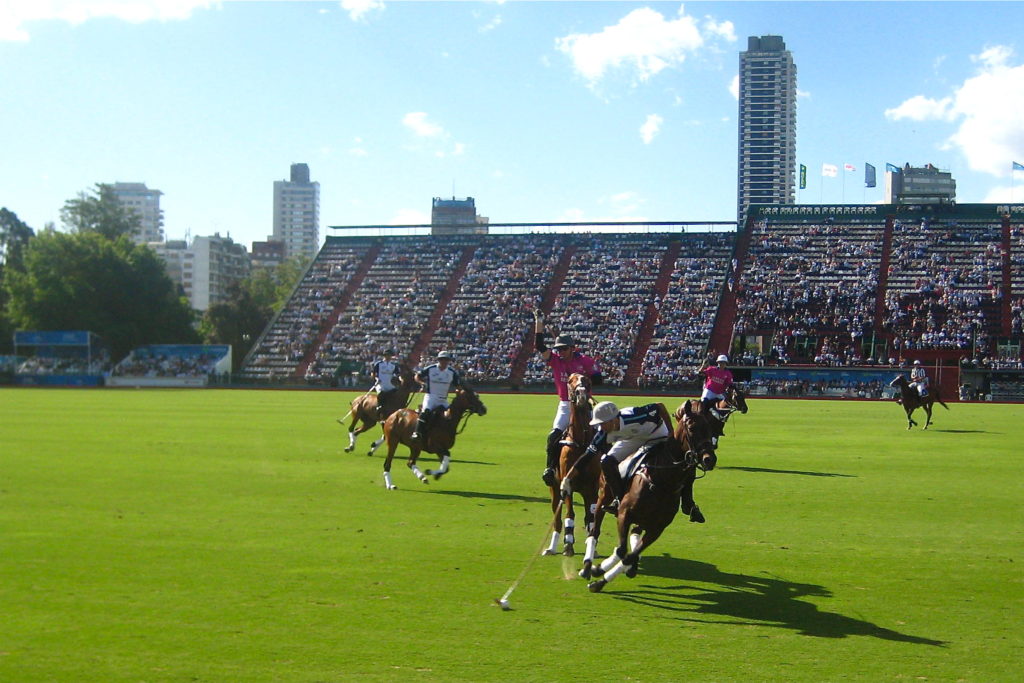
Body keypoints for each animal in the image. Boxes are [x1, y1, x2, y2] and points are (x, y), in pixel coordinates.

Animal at [540, 376, 598, 557]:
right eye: (570, 380)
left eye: (587, 380)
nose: (581, 395)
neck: (581, 441)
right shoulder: (567, 486)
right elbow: (569, 514)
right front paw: (568, 545)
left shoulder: (593, 488)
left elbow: (591, 517)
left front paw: (591, 547)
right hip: (554, 490)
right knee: (557, 520)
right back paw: (552, 547)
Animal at [585, 401, 720, 593]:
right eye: (692, 428)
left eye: (709, 428)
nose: (710, 459)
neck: (663, 480)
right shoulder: (624, 514)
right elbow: (621, 551)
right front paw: (598, 570)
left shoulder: (657, 528)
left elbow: (629, 556)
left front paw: (600, 580)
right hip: (604, 495)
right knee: (595, 530)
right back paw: (587, 566)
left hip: (643, 520)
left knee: (633, 536)